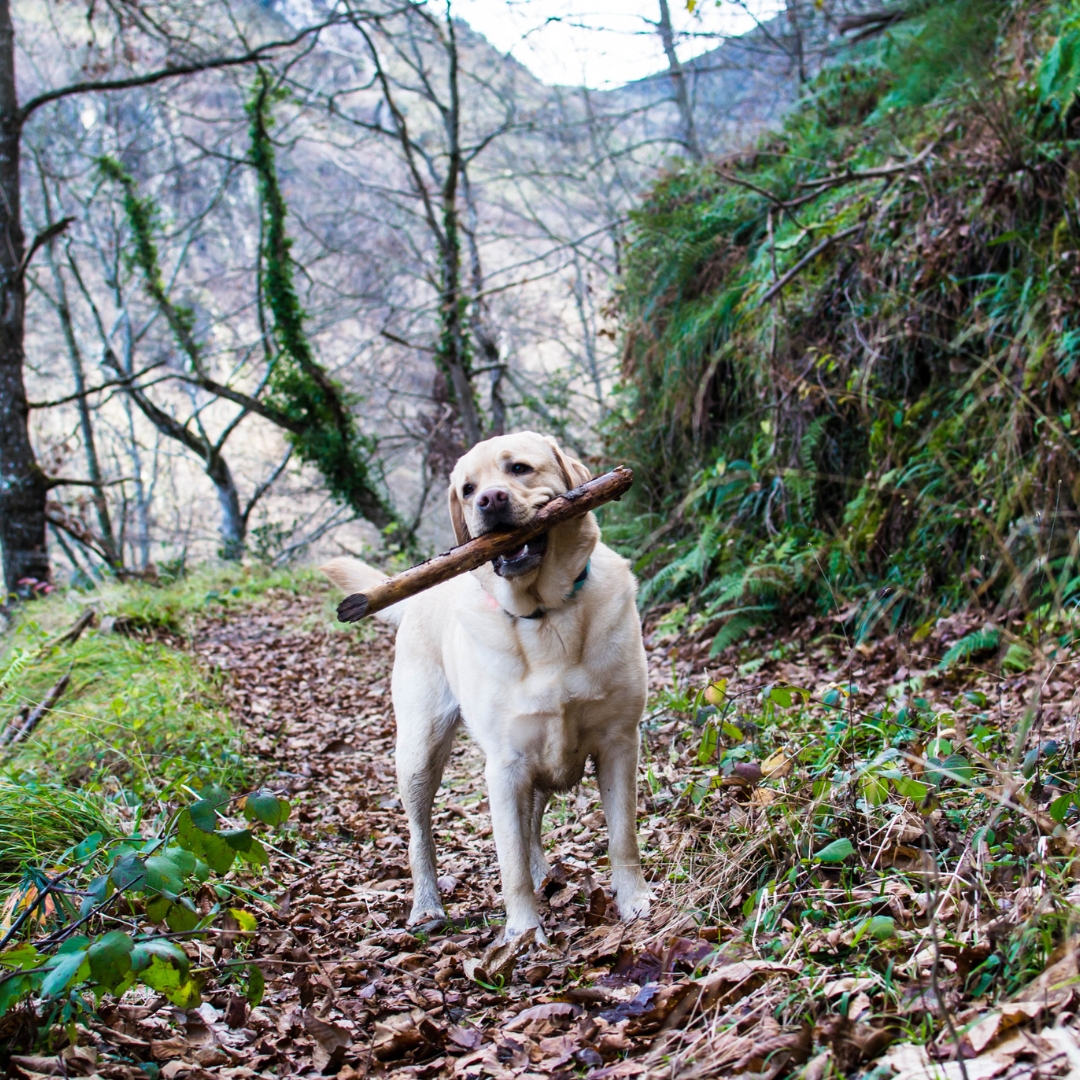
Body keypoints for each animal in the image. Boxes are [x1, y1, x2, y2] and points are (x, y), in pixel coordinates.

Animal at [321, 434, 648, 941]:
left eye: (519, 469)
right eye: (467, 489)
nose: (489, 501)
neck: (544, 616)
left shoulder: (619, 742)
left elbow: (622, 837)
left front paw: (635, 902)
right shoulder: (505, 765)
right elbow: (509, 862)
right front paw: (524, 934)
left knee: (532, 823)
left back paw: (543, 875)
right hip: (419, 751)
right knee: (420, 834)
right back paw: (427, 907)